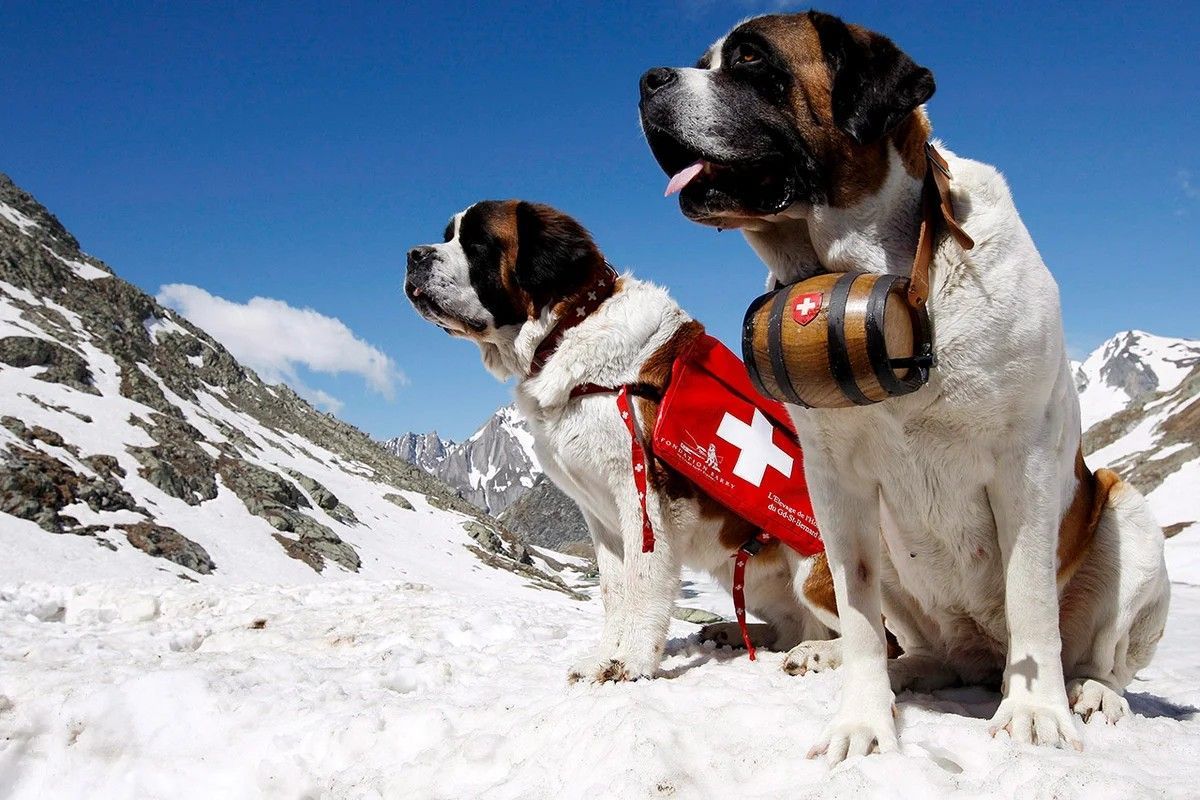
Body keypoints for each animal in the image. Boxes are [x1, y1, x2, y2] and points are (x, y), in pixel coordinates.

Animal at [408, 200, 840, 681]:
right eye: (447, 235)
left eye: (478, 242)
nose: (412, 255)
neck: (567, 330)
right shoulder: (601, 513)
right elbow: (615, 588)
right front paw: (603, 654)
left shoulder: (645, 497)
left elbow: (644, 582)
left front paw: (630, 660)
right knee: (793, 626)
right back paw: (735, 631)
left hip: (814, 568)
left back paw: (818, 653)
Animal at [638, 10, 1171, 762]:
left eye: (750, 60)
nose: (648, 79)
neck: (885, 276)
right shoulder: (836, 485)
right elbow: (860, 615)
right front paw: (861, 722)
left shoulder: (1027, 464)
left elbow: (1032, 599)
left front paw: (1036, 713)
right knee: (922, 646)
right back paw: (897, 668)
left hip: (1130, 517)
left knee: (1097, 654)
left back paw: (1089, 693)